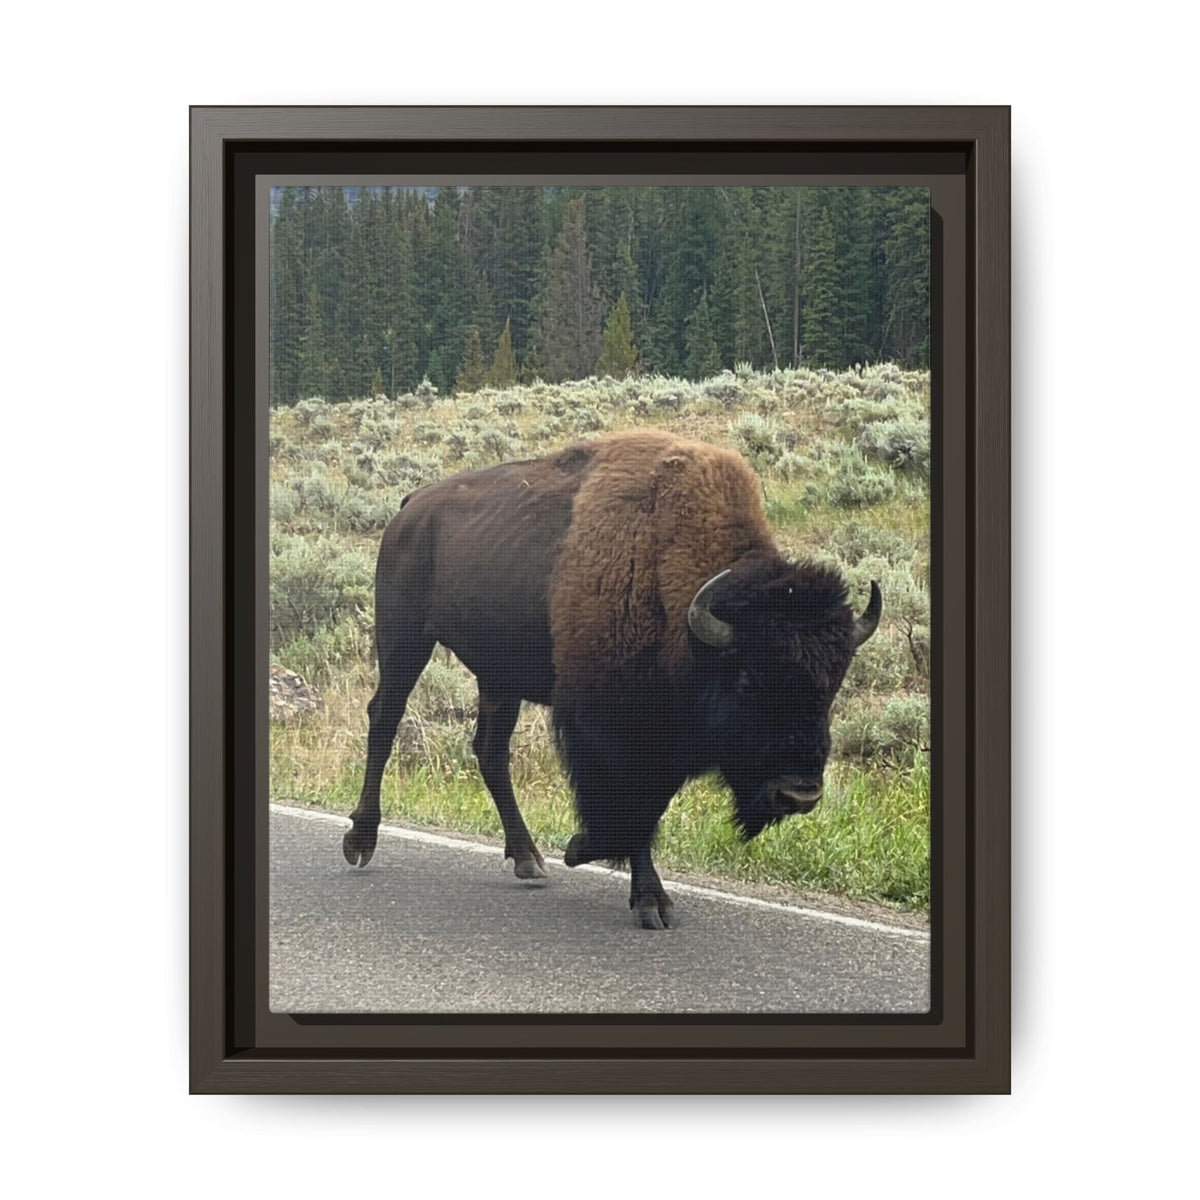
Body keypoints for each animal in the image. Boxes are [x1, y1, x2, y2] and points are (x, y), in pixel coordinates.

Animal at [344, 430, 881, 928]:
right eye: (748, 679)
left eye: (833, 684)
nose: (800, 794)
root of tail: (411, 507)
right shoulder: (611, 728)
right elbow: (631, 805)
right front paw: (626, 883)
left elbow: (649, 806)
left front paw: (605, 866)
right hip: (405, 639)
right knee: (385, 720)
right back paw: (360, 841)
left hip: (499, 676)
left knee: (490, 751)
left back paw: (528, 859)